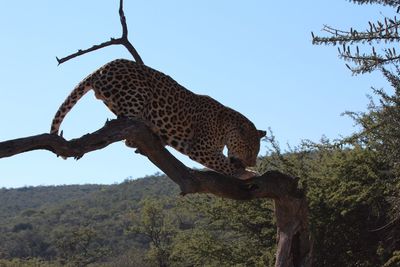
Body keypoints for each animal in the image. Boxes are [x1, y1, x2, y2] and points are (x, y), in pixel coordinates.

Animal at [50, 59, 266, 179]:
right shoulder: (199, 149)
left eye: (256, 151)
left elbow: (222, 162)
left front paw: (245, 170)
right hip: (138, 92)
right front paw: (246, 173)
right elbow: (223, 164)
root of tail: (103, 67)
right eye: (249, 148)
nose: (252, 162)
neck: (226, 127)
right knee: (128, 130)